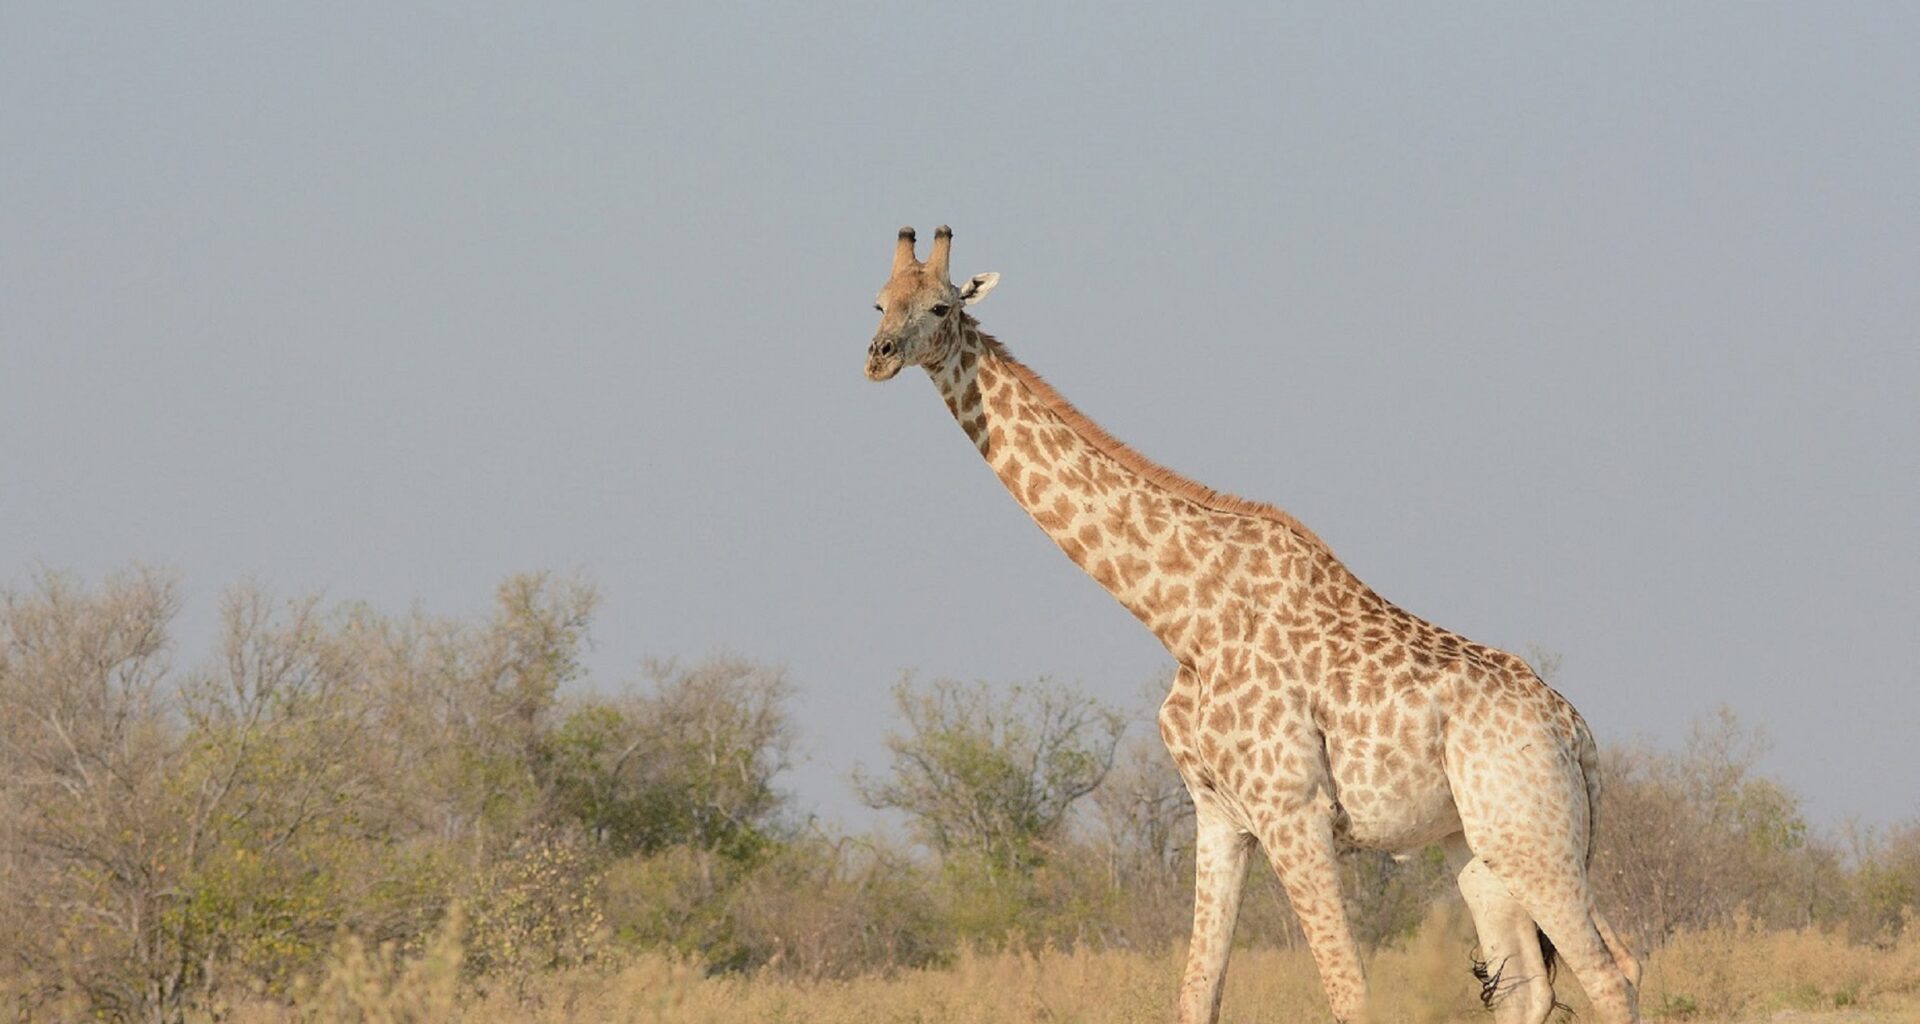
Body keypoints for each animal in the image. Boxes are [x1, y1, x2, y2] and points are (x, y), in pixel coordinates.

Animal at [865, 226, 1643, 1024]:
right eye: (877, 301)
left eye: (939, 304)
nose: (879, 354)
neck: (1182, 618)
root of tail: (1577, 733)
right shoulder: (1217, 814)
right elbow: (1197, 992)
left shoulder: (1293, 808)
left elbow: (1349, 990)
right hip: (1480, 844)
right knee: (1536, 986)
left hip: (1529, 832)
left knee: (1610, 973)